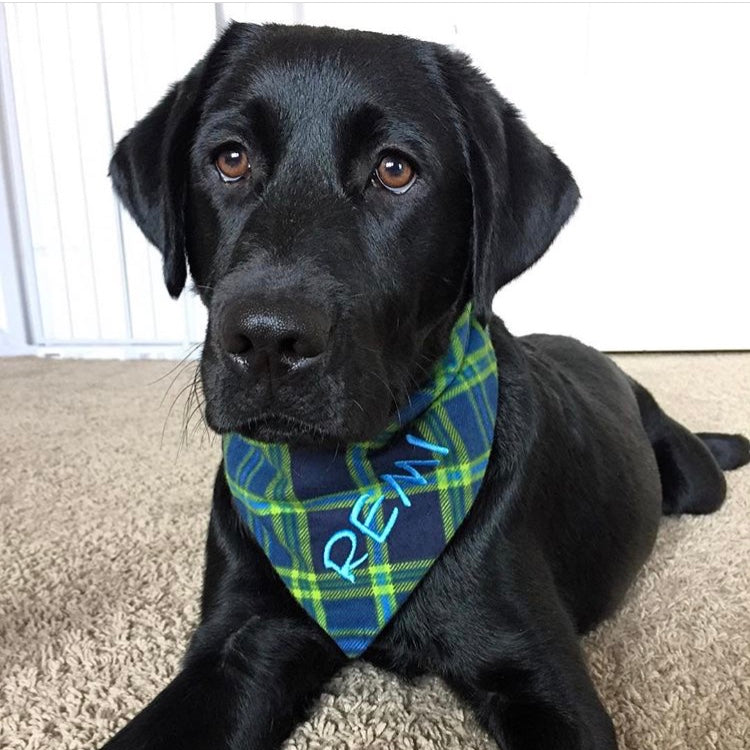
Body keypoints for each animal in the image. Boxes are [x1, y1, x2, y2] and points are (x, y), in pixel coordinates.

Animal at [103, 23, 748, 750]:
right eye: (230, 159)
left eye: (395, 170)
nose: (267, 340)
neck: (344, 490)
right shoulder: (240, 641)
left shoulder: (539, 675)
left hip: (695, 481)